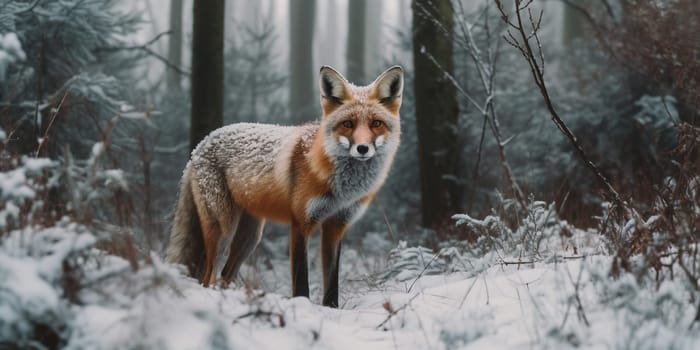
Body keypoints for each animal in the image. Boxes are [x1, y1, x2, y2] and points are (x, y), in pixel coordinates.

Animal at [166, 65, 402, 306]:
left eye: (376, 123)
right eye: (348, 124)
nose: (363, 148)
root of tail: (199, 147)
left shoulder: (336, 226)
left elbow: (331, 284)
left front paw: (331, 309)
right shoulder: (300, 223)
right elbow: (301, 282)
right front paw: (303, 306)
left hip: (249, 238)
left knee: (224, 275)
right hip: (224, 229)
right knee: (208, 278)